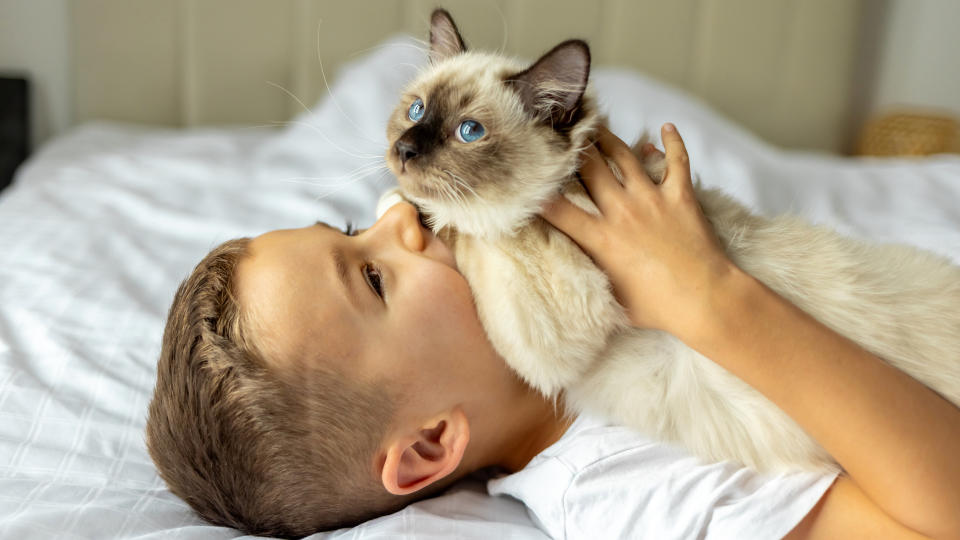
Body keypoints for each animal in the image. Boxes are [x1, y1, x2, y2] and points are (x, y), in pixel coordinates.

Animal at [380, 7, 960, 472]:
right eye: (416, 111)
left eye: (469, 132)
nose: (404, 151)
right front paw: (403, 213)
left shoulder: (546, 318)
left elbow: (472, 231)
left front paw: (407, 216)